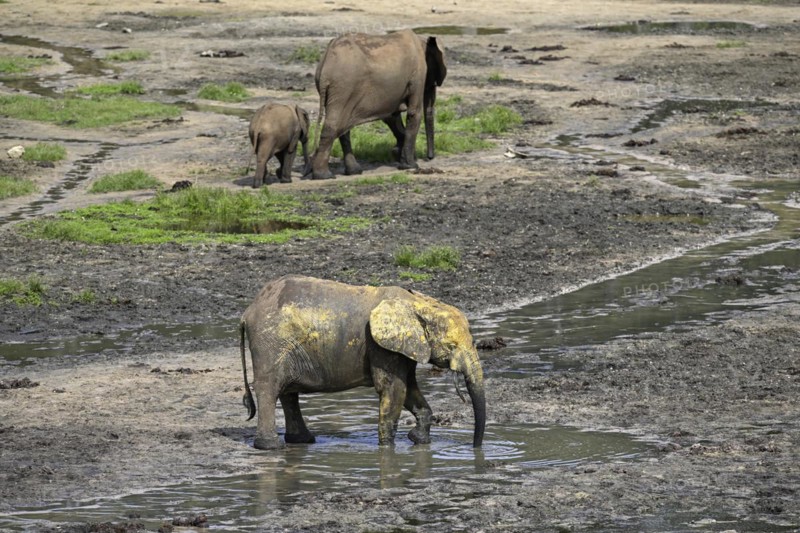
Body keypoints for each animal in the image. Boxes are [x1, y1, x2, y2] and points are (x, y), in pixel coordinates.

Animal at [239, 275, 485, 450]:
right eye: (452, 346)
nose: (475, 448)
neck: (419, 303)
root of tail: (247, 311)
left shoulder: (404, 347)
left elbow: (409, 388)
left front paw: (418, 440)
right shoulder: (380, 346)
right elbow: (393, 389)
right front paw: (387, 449)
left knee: (288, 392)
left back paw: (303, 441)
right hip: (271, 343)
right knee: (270, 388)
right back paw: (271, 447)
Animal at [307, 29, 447, 180]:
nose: (429, 158)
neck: (422, 41)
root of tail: (326, 62)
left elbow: (392, 116)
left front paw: (398, 153)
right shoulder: (417, 75)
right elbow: (414, 113)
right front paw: (411, 165)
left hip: (338, 91)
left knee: (342, 127)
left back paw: (354, 171)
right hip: (343, 87)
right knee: (333, 126)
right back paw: (324, 176)